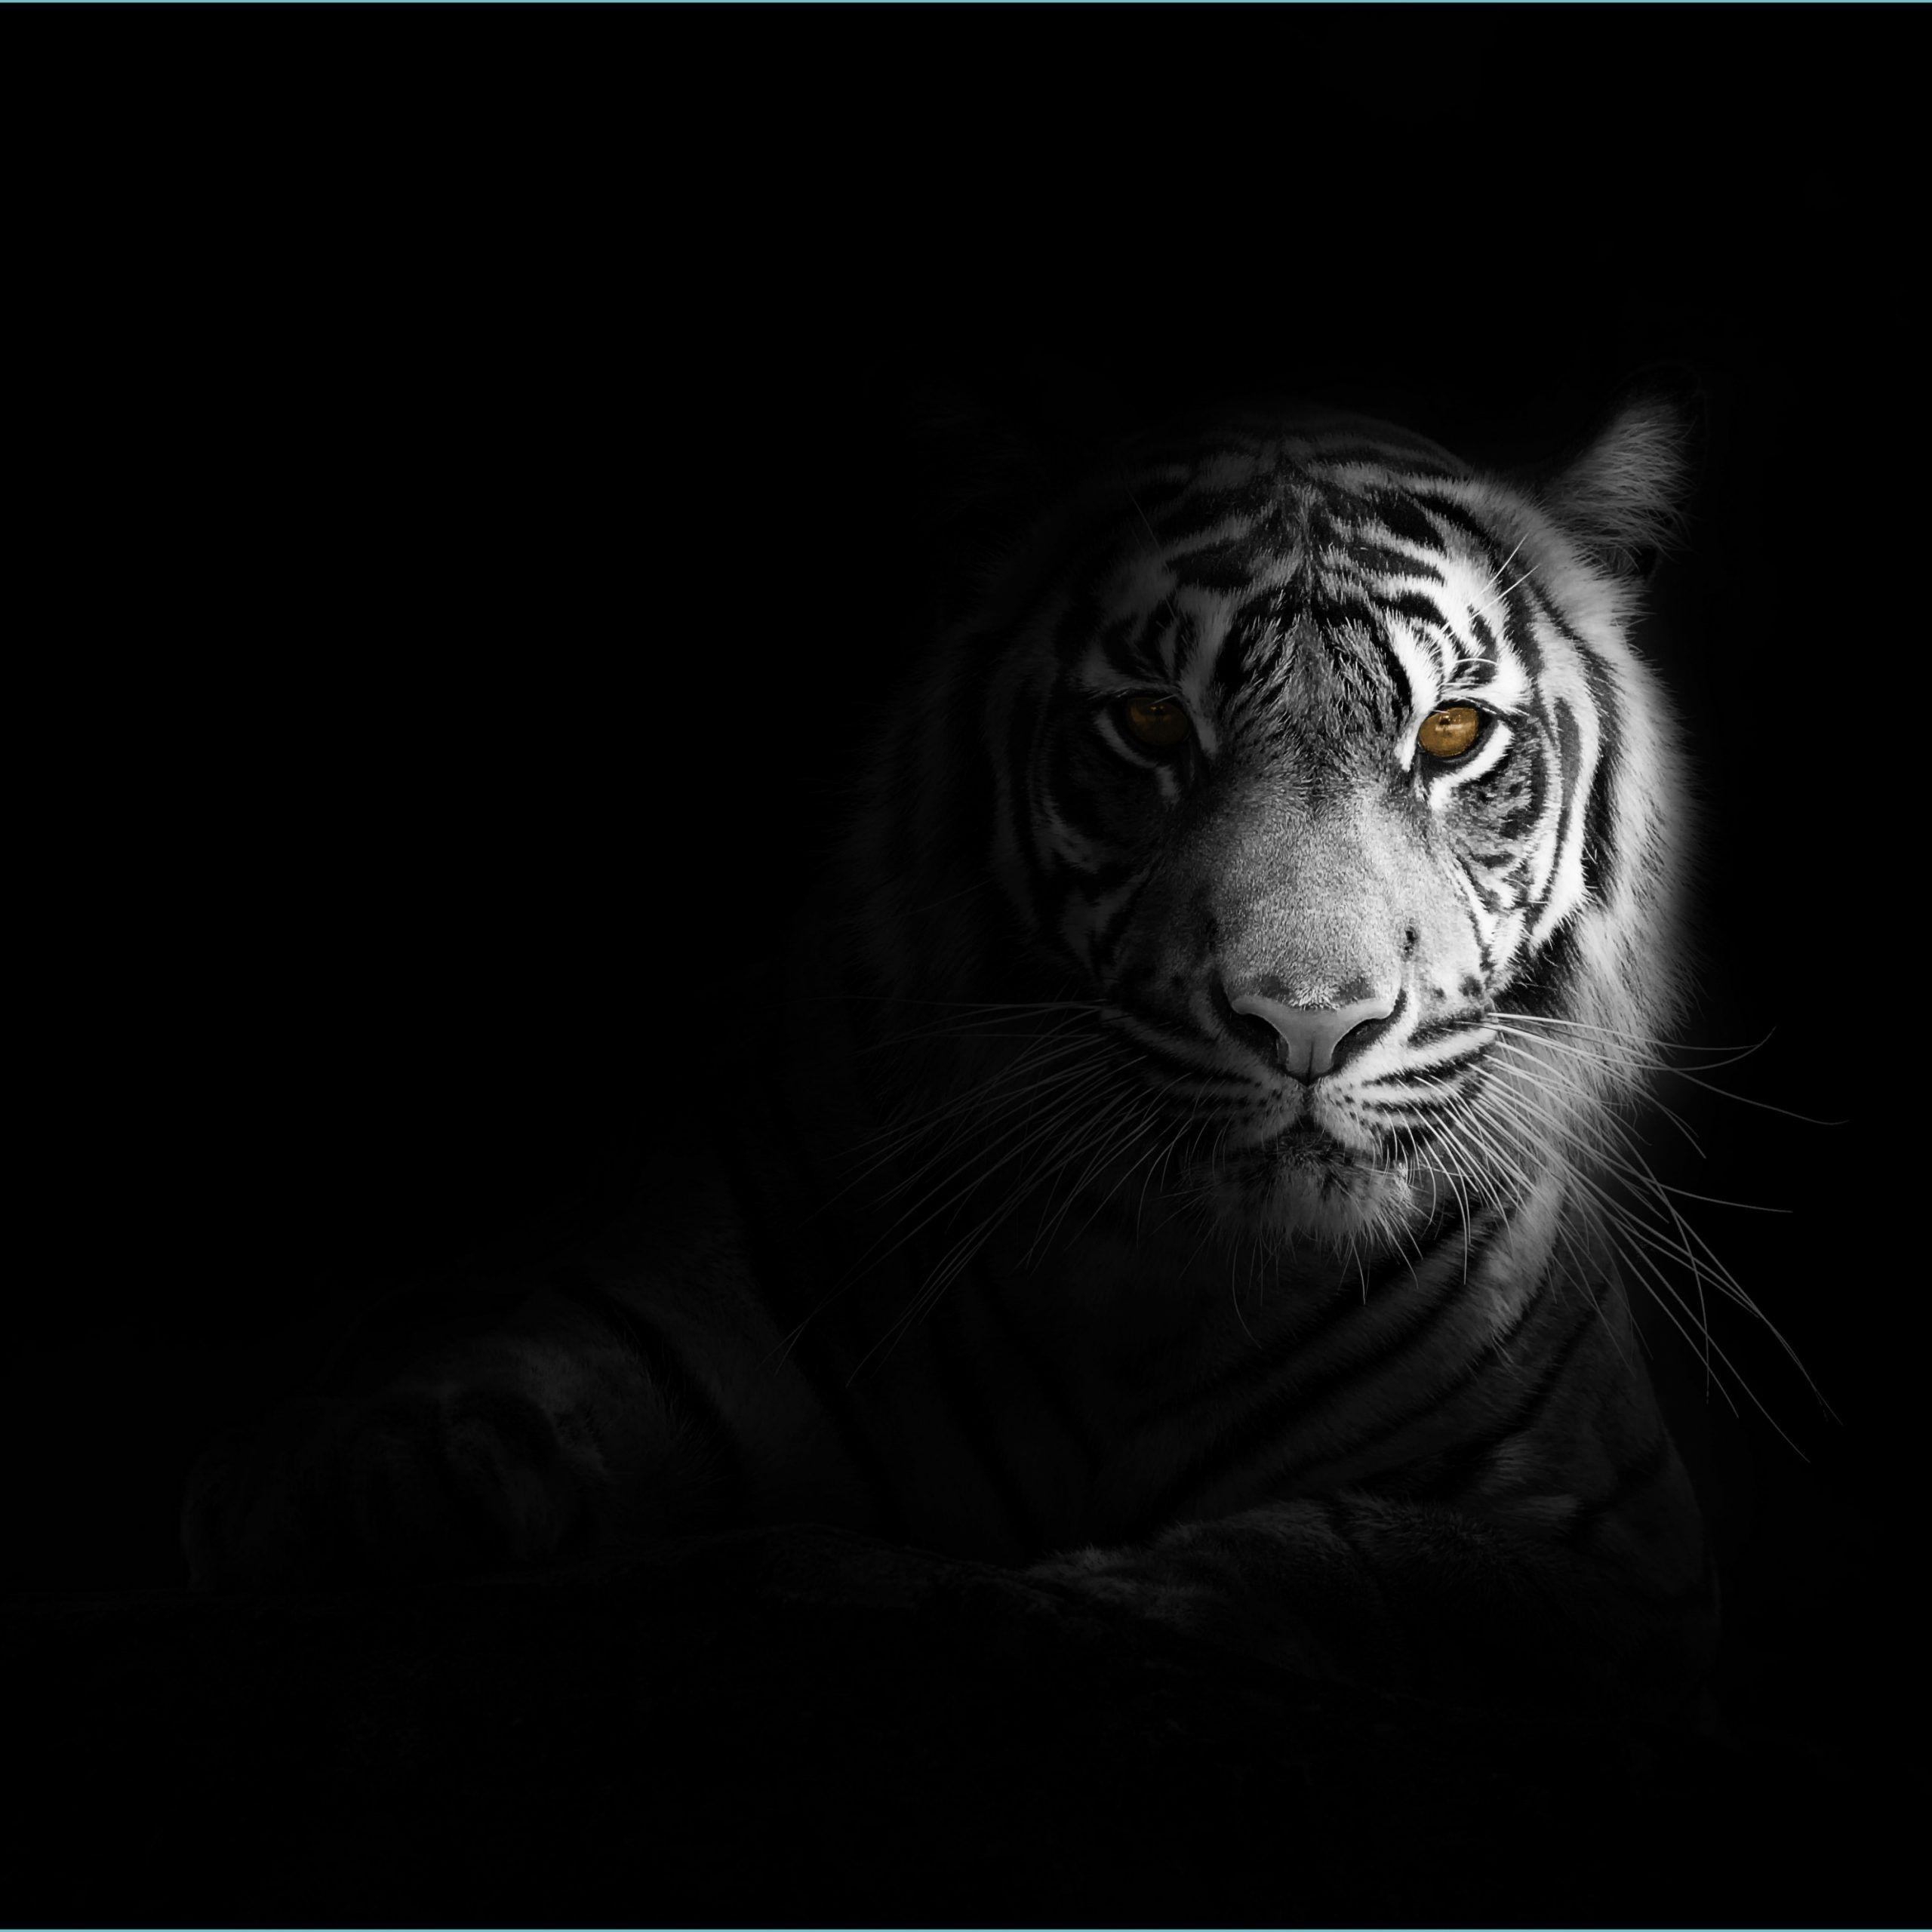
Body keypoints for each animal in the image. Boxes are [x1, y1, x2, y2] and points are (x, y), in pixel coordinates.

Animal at [184, 386, 1730, 1721]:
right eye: (1151, 722)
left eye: (1452, 733)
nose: (1307, 1019)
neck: (1164, 1287)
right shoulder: (650, 1304)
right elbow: (442, 1424)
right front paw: (369, 1510)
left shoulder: (1618, 1543)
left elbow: (1371, 1559)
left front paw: (1096, 1598)